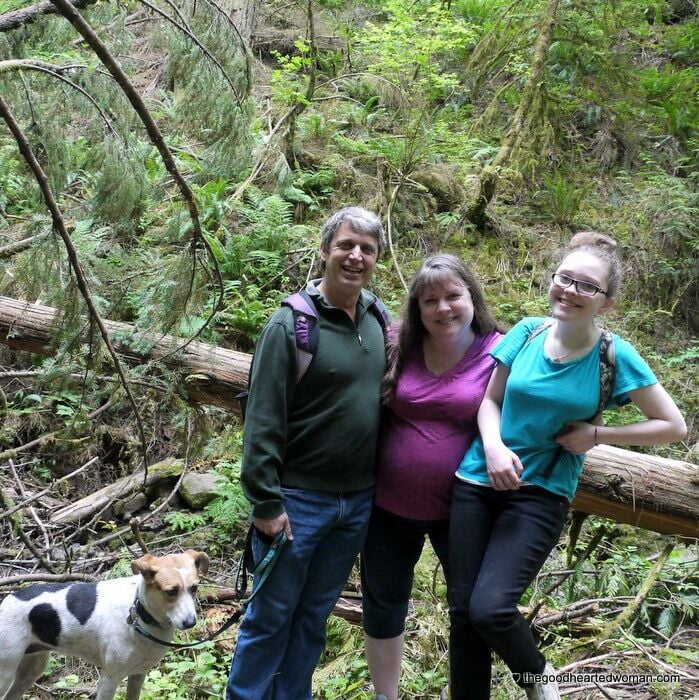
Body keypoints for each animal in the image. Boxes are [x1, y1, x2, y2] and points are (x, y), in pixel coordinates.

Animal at [0, 548, 209, 700]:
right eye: (171, 592)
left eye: (194, 588)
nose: (190, 623)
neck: (139, 611)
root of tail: (5, 601)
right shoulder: (110, 678)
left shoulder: (138, 674)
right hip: (6, 672)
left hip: (32, 669)